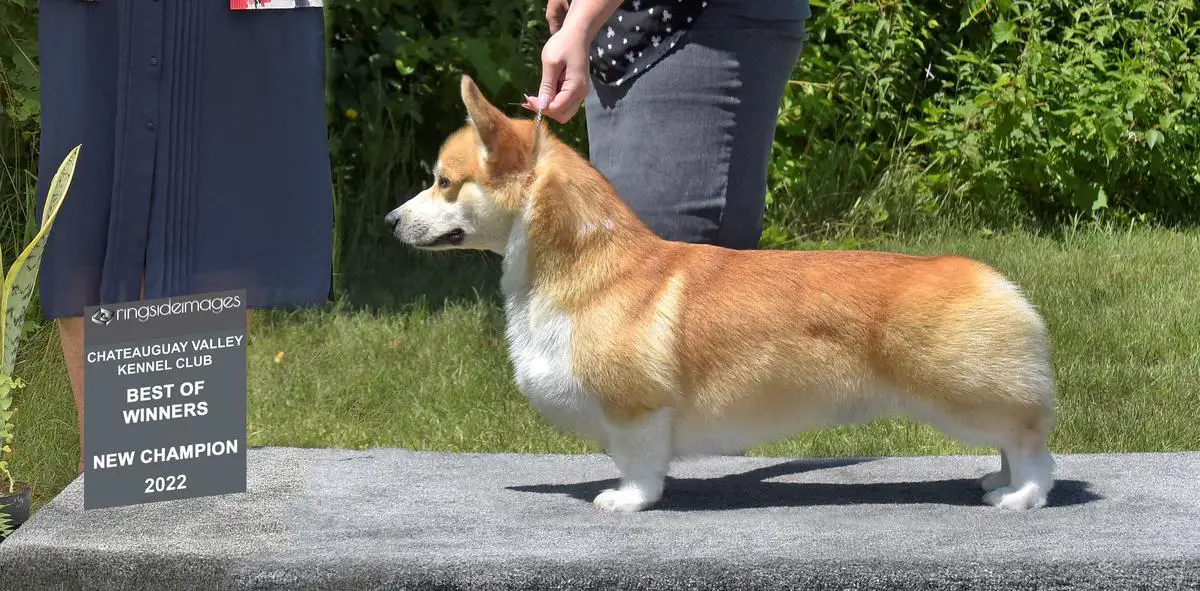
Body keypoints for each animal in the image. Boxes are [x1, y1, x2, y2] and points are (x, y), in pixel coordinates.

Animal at [386, 76, 1060, 511]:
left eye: (444, 183)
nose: (391, 221)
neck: (581, 266)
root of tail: (999, 282)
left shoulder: (636, 409)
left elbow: (637, 466)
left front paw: (623, 502)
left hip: (968, 396)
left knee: (1031, 445)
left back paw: (1017, 498)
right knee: (1012, 445)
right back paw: (995, 484)